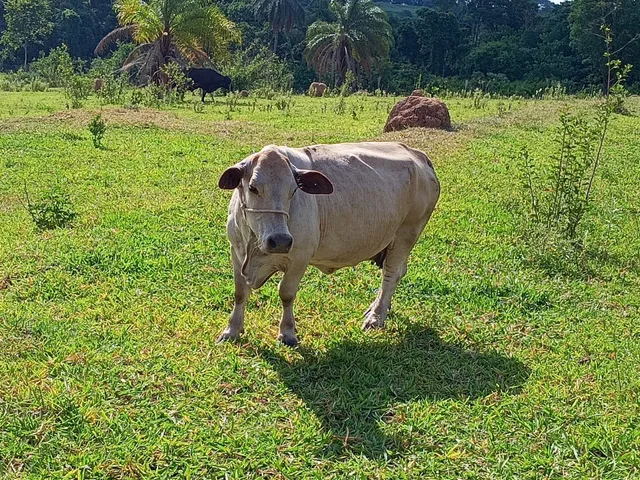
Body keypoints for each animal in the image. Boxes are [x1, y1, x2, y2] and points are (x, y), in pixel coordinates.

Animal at [217, 142, 440, 346]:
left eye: (293, 190)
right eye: (253, 188)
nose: (280, 240)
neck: (254, 244)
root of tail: (418, 154)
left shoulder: (299, 258)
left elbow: (286, 294)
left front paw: (287, 333)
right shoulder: (236, 253)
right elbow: (240, 293)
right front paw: (232, 330)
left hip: (406, 234)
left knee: (390, 275)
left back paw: (376, 316)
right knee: (398, 273)